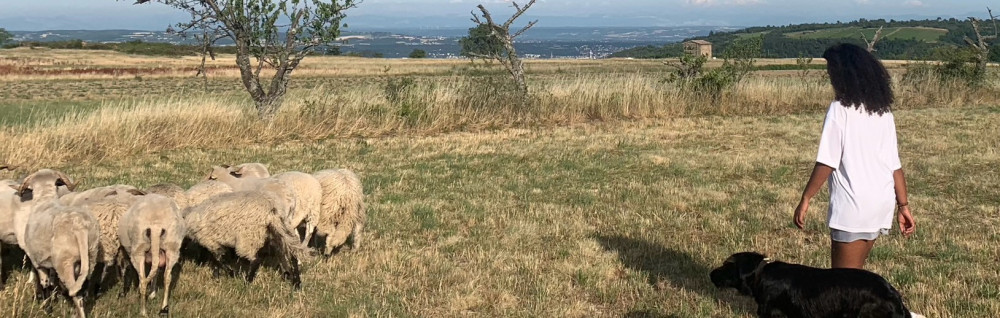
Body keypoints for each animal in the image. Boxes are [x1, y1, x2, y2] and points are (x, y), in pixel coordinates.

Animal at [17, 168, 97, 316]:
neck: (45, 200)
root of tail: (79, 227)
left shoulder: (37, 261)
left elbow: (44, 284)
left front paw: (46, 307)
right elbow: (51, 283)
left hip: (64, 262)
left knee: (77, 295)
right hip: (90, 256)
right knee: (84, 286)